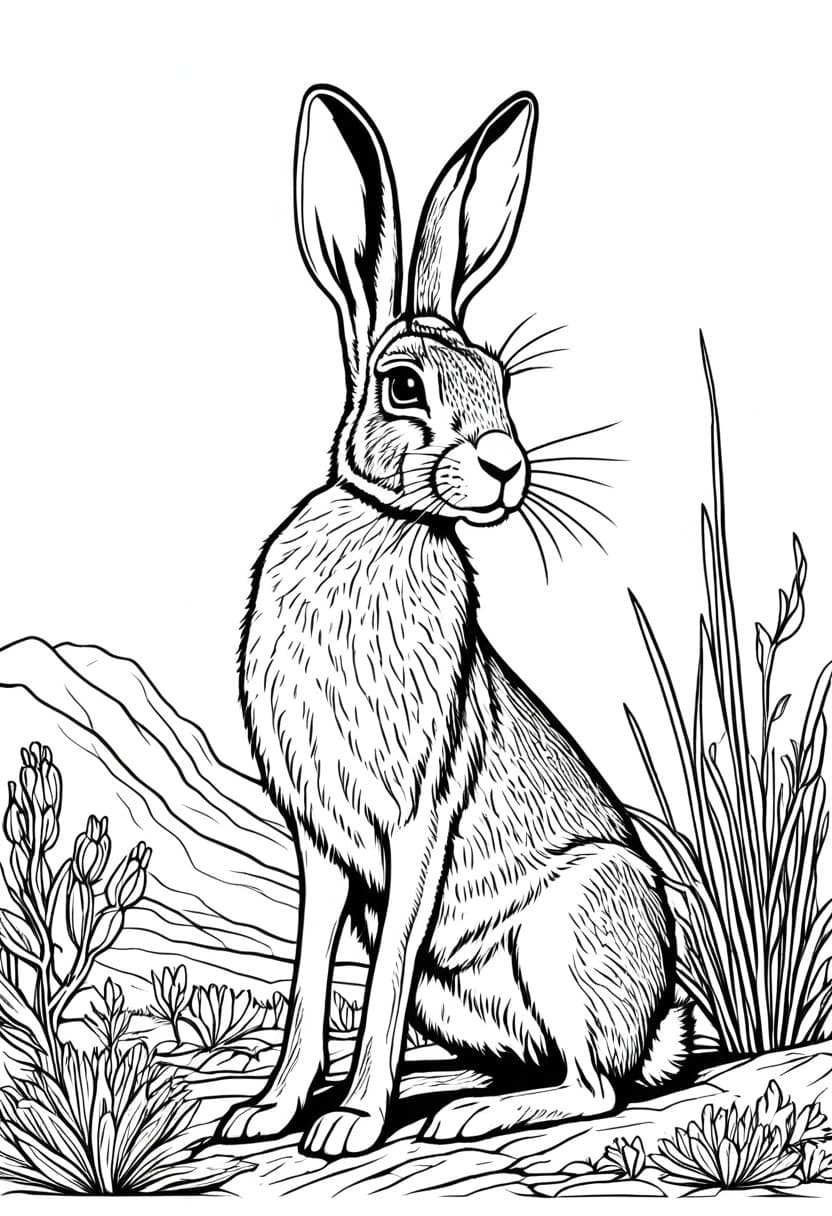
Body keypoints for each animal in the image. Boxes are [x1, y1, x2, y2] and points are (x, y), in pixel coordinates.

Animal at [218, 84, 689, 1158]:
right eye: (404, 387)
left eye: (501, 382)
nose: (507, 466)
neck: (387, 521)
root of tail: (659, 1027)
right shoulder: (324, 844)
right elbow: (312, 976)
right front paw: (267, 1112)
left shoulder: (419, 817)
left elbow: (382, 972)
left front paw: (348, 1126)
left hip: (567, 930)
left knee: (594, 1088)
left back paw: (467, 1115)